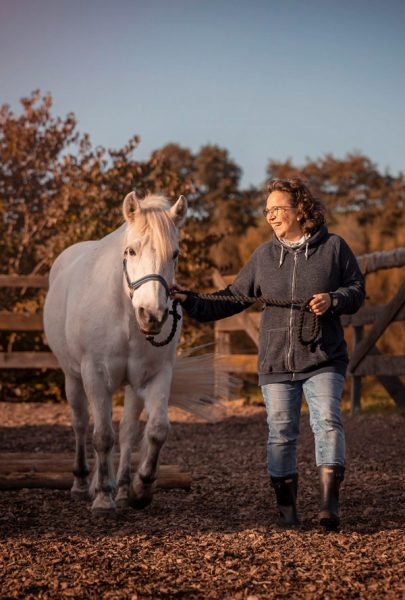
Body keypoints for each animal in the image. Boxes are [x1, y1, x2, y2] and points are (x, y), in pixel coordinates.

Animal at [43, 192, 189, 516]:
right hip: (73, 377)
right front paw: (102, 498)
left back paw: (120, 488)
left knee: (127, 432)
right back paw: (83, 483)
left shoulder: (155, 376)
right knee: (82, 424)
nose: (152, 315)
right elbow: (102, 436)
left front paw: (140, 489)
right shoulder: (94, 374)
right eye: (131, 251)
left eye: (174, 254)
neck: (124, 315)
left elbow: (155, 430)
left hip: (131, 387)